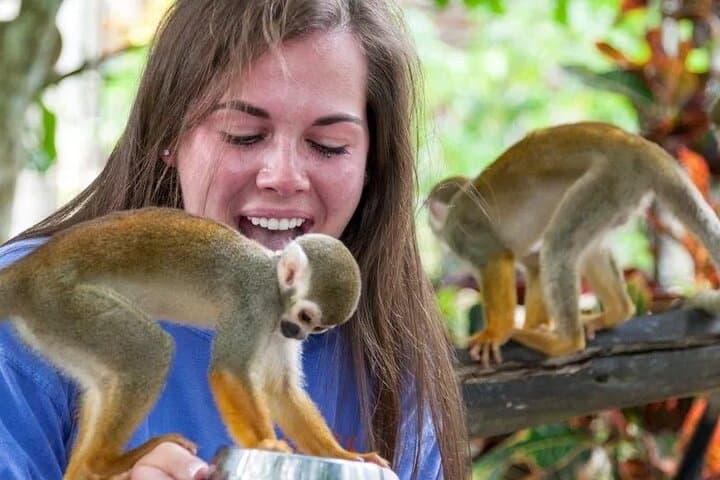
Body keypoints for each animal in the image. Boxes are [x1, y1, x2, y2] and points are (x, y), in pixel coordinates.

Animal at [0, 207, 388, 479]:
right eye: (307, 317)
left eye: (318, 328)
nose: (299, 334)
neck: (274, 282)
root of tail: (28, 271)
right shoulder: (255, 302)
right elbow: (228, 370)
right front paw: (264, 443)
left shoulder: (276, 322)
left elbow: (279, 390)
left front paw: (343, 455)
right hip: (62, 301)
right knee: (150, 351)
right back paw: (104, 463)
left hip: (54, 321)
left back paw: (86, 469)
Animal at [427, 121, 720, 366]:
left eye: (429, 207)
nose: (427, 218)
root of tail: (643, 147)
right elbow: (534, 265)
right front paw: (536, 325)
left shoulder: (463, 232)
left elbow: (497, 256)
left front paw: (496, 333)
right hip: (622, 194)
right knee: (585, 249)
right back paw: (616, 312)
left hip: (610, 179)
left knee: (558, 246)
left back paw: (565, 342)